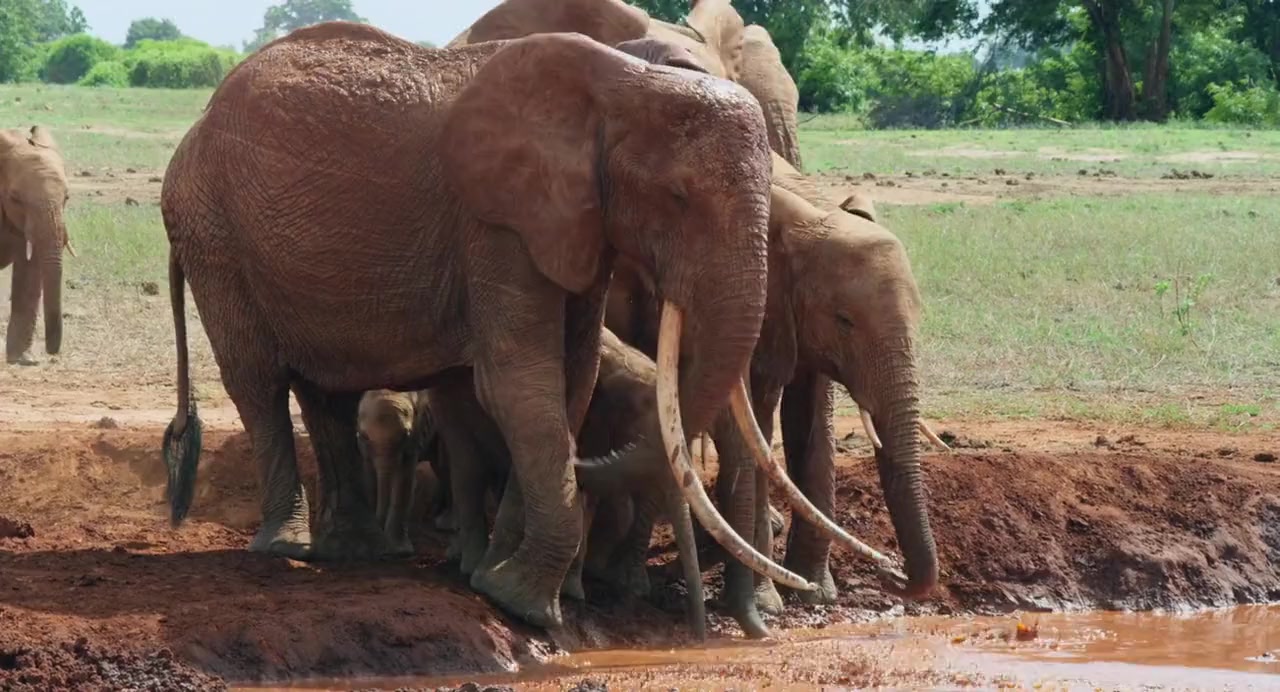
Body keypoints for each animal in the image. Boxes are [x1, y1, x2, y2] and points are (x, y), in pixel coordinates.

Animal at [160, 22, 825, 629]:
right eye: (679, 197)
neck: (622, 79)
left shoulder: (577, 223)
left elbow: (571, 380)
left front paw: (494, 582)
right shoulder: (497, 221)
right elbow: (518, 383)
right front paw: (525, 608)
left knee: (327, 393)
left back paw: (351, 554)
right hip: (212, 234)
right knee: (260, 382)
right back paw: (286, 547)